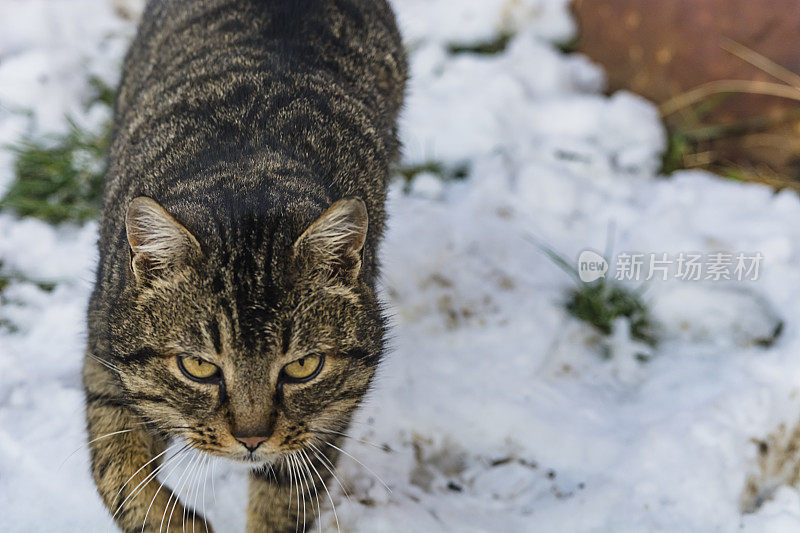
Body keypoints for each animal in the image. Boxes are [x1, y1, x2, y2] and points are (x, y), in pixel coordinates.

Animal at [83, 2, 406, 528]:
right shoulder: (105, 363)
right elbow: (118, 469)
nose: (251, 439)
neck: (246, 182)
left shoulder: (328, 416)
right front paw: (178, 523)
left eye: (303, 367)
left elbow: (283, 501)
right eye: (197, 366)